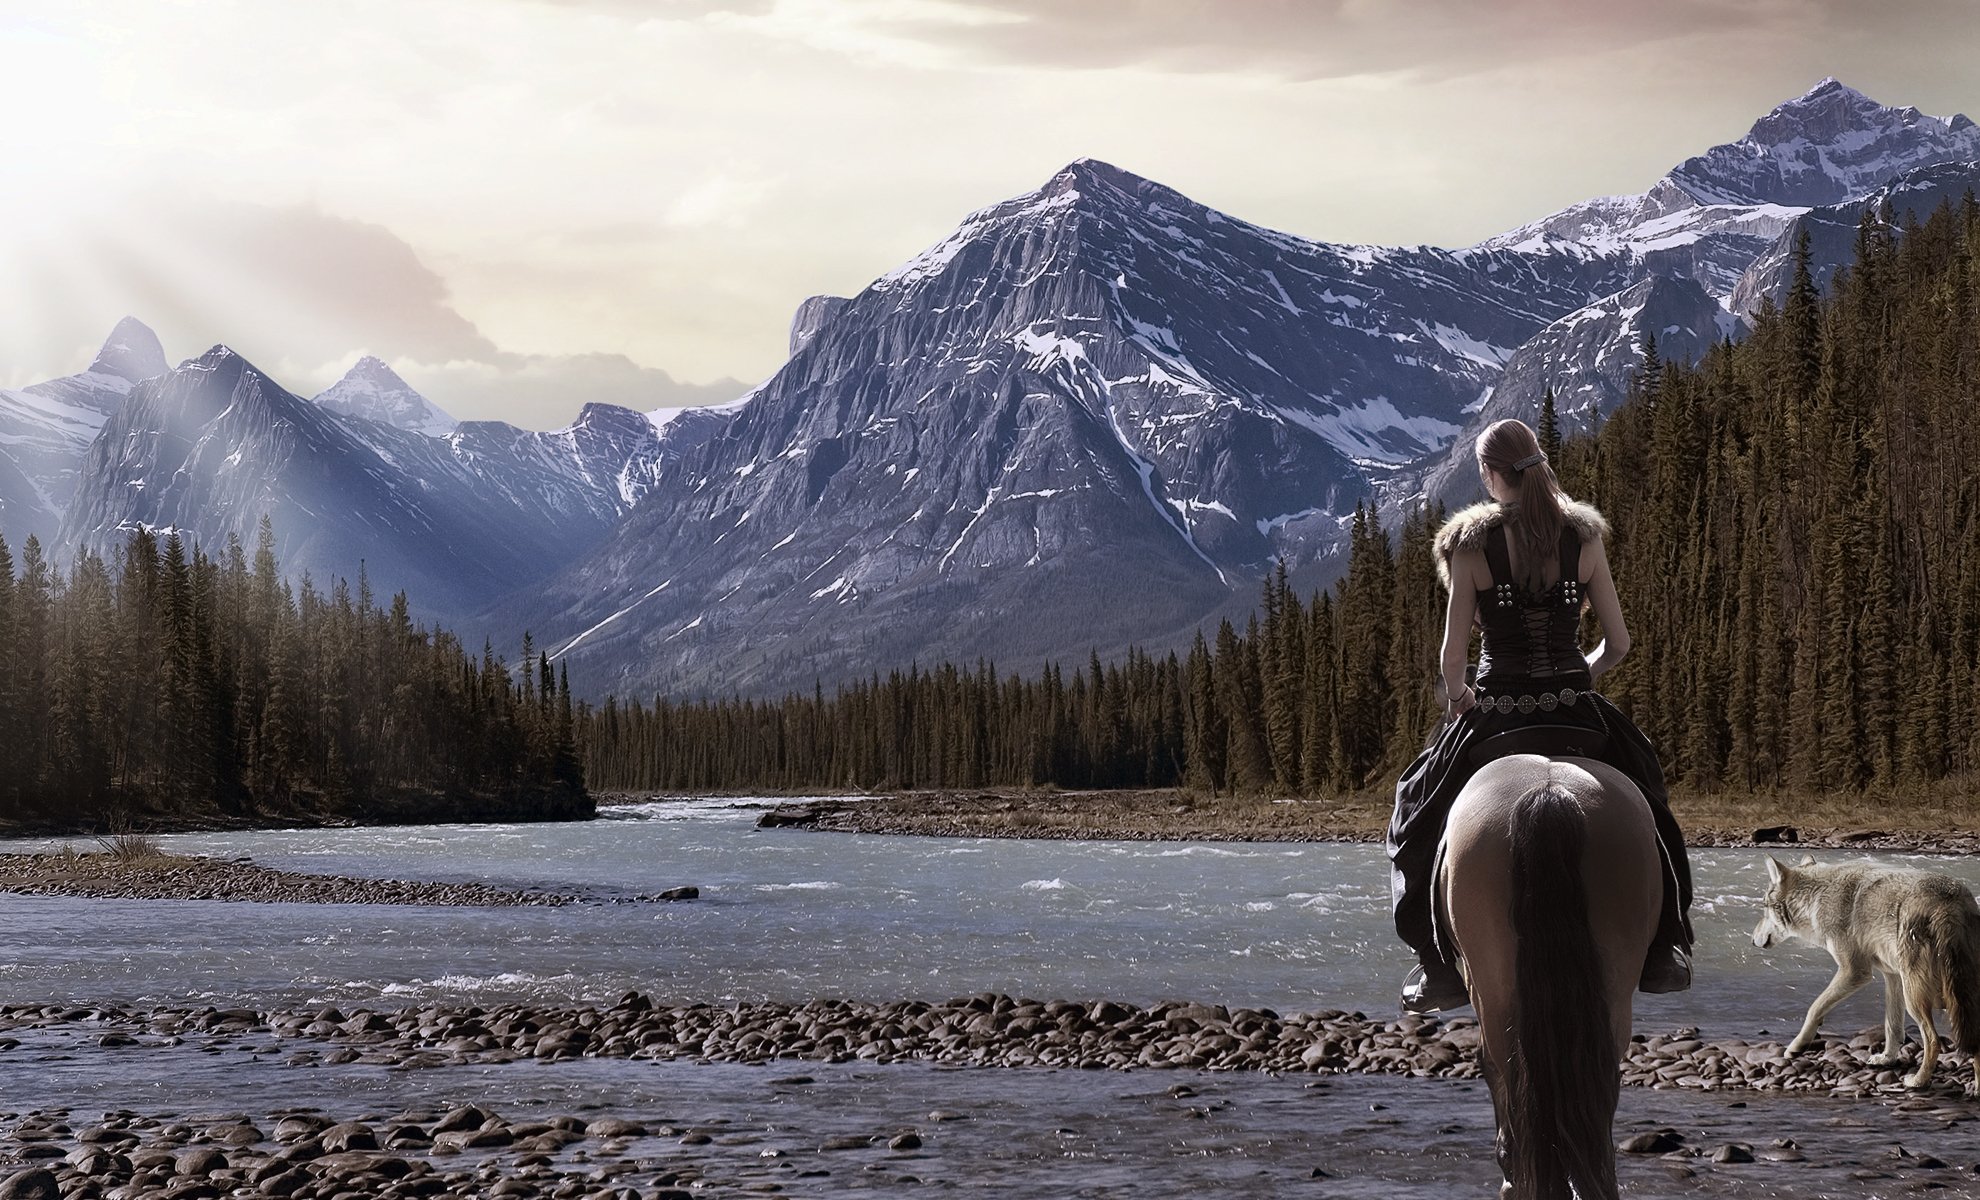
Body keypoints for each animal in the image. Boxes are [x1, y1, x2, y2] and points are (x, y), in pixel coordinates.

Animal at [1758, 851, 1972, 1093]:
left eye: (1764, 907)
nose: (1753, 939)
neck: (1816, 898)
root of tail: (1949, 907)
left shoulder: (1854, 971)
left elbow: (1815, 1007)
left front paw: (1796, 1046)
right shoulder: (1892, 976)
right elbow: (1892, 1026)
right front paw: (1887, 1058)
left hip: (1916, 999)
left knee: (1933, 1039)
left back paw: (1918, 1081)